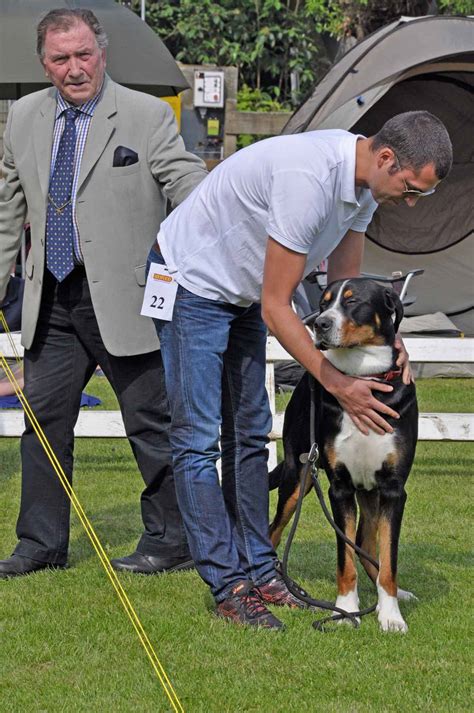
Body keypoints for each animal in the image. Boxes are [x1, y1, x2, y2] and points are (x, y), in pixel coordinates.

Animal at [270, 276, 418, 632]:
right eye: (323, 303)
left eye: (352, 302)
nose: (320, 324)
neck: (363, 377)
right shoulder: (340, 488)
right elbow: (344, 560)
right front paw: (345, 611)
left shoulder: (393, 489)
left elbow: (388, 558)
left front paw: (390, 614)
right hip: (298, 477)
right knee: (273, 533)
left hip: (371, 492)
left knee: (367, 545)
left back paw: (393, 595)